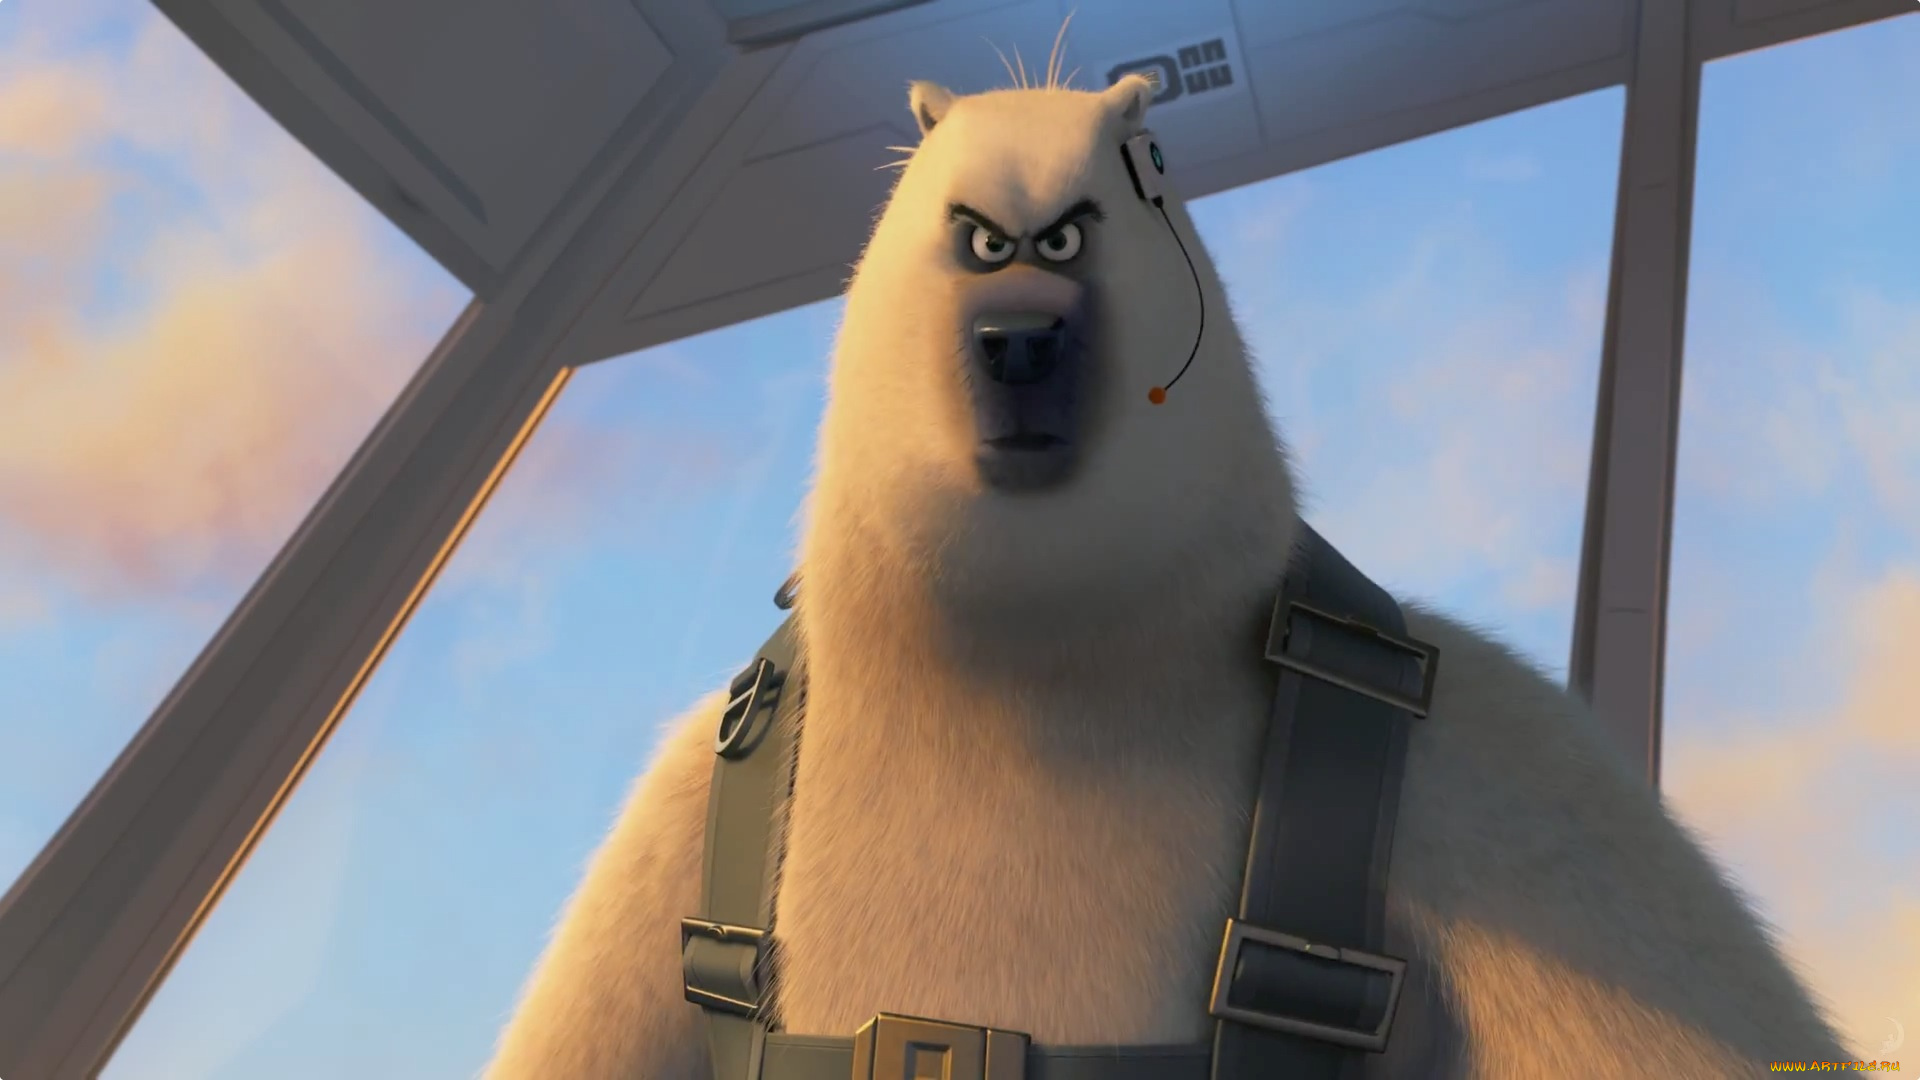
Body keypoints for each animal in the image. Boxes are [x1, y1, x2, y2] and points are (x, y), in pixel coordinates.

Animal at [483, 74, 1851, 1079]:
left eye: (1082, 222)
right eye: (976, 237)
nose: (1020, 343)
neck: (1026, 671)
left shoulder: (1502, 767)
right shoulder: (679, 804)